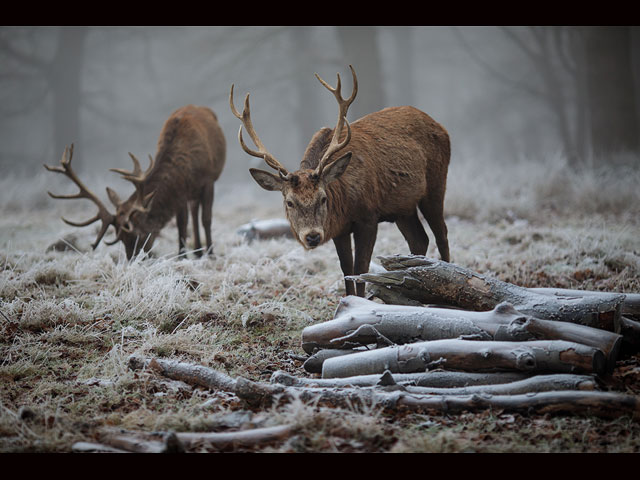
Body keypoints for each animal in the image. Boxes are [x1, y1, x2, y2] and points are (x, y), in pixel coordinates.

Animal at [45, 103, 226, 256]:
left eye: (138, 235)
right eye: (121, 239)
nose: (133, 260)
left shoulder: (208, 180)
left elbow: (205, 219)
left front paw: (208, 254)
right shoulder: (180, 192)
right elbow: (182, 225)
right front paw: (183, 255)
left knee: (199, 215)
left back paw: (203, 252)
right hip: (192, 194)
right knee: (194, 212)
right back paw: (197, 251)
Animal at [230, 65, 450, 294]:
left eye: (323, 198)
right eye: (289, 202)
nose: (312, 236)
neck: (344, 201)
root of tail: (440, 126)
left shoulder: (368, 217)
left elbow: (361, 267)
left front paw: (361, 299)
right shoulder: (339, 228)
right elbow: (346, 269)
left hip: (436, 184)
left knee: (441, 234)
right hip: (403, 208)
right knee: (419, 240)